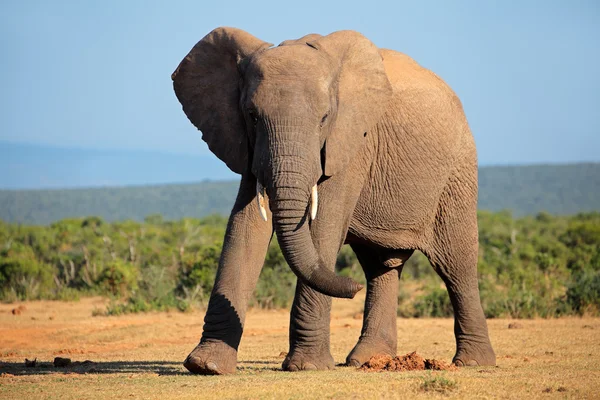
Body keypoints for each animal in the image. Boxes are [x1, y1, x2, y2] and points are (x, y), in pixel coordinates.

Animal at [171, 26, 494, 374]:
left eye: (324, 118)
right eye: (252, 116)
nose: (351, 288)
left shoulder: (351, 142)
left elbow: (322, 225)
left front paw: (307, 366)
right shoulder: (248, 145)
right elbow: (244, 228)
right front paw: (207, 366)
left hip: (457, 172)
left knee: (456, 264)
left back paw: (473, 361)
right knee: (380, 266)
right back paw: (369, 360)